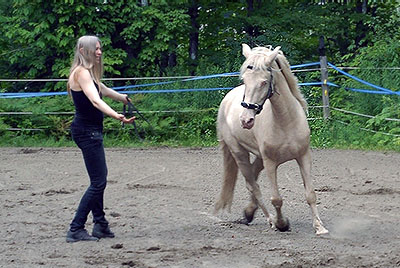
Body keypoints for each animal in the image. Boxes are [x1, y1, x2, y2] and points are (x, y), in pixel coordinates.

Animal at [216, 43, 328, 234]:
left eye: (263, 82)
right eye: (244, 80)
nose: (246, 120)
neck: (286, 120)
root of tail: (226, 100)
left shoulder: (304, 156)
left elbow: (310, 194)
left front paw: (320, 227)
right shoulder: (270, 163)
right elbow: (276, 199)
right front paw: (282, 224)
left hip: (259, 158)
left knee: (253, 179)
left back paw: (249, 213)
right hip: (240, 154)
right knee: (253, 186)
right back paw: (270, 220)